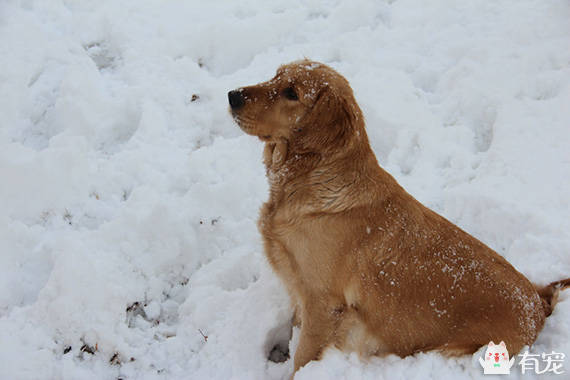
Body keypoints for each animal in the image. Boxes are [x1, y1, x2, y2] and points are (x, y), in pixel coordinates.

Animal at [227, 59, 568, 374]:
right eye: (276, 75)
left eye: (292, 93)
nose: (232, 95)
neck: (308, 180)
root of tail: (537, 302)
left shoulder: (324, 302)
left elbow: (303, 358)